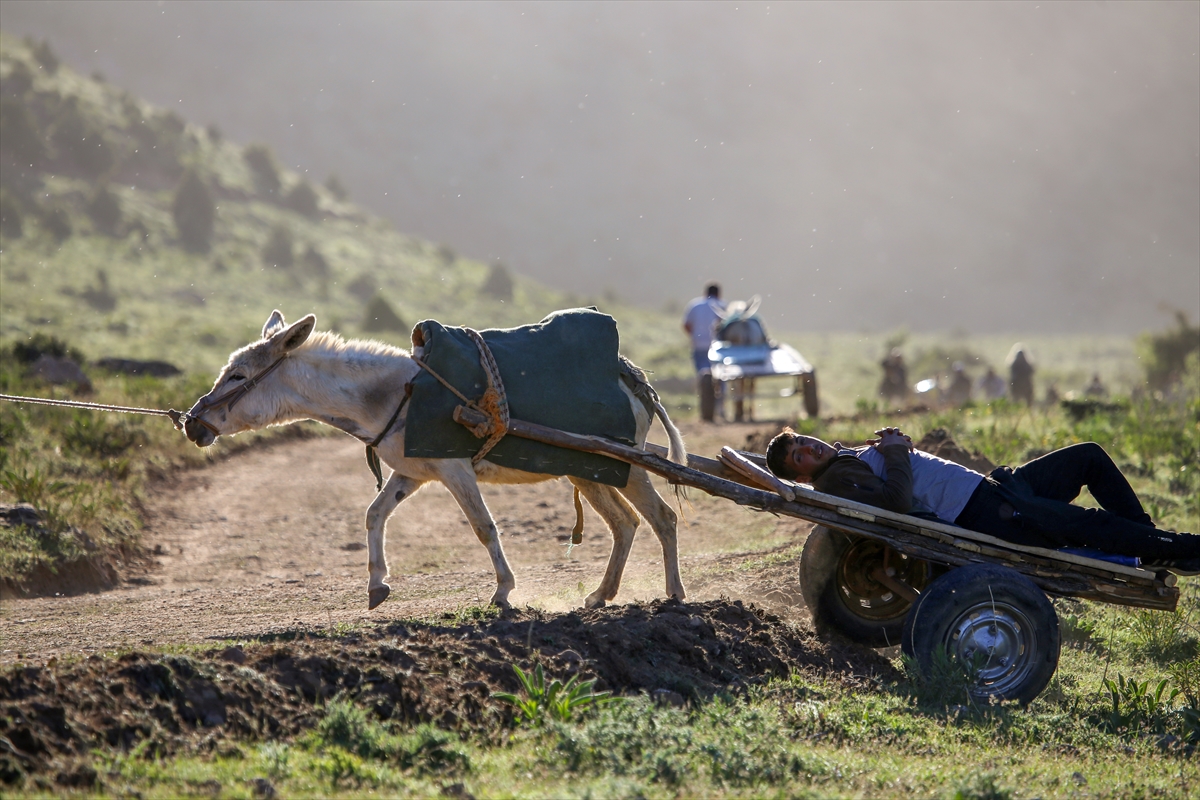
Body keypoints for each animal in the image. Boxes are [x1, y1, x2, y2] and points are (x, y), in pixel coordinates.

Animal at [182, 310, 688, 611]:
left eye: (238, 375)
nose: (191, 424)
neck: (395, 395)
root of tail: (628, 372)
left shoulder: (453, 469)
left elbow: (484, 526)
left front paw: (503, 591)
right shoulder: (411, 473)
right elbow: (374, 514)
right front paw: (377, 585)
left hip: (627, 465)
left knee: (662, 518)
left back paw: (675, 593)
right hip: (591, 470)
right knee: (626, 524)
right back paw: (602, 595)